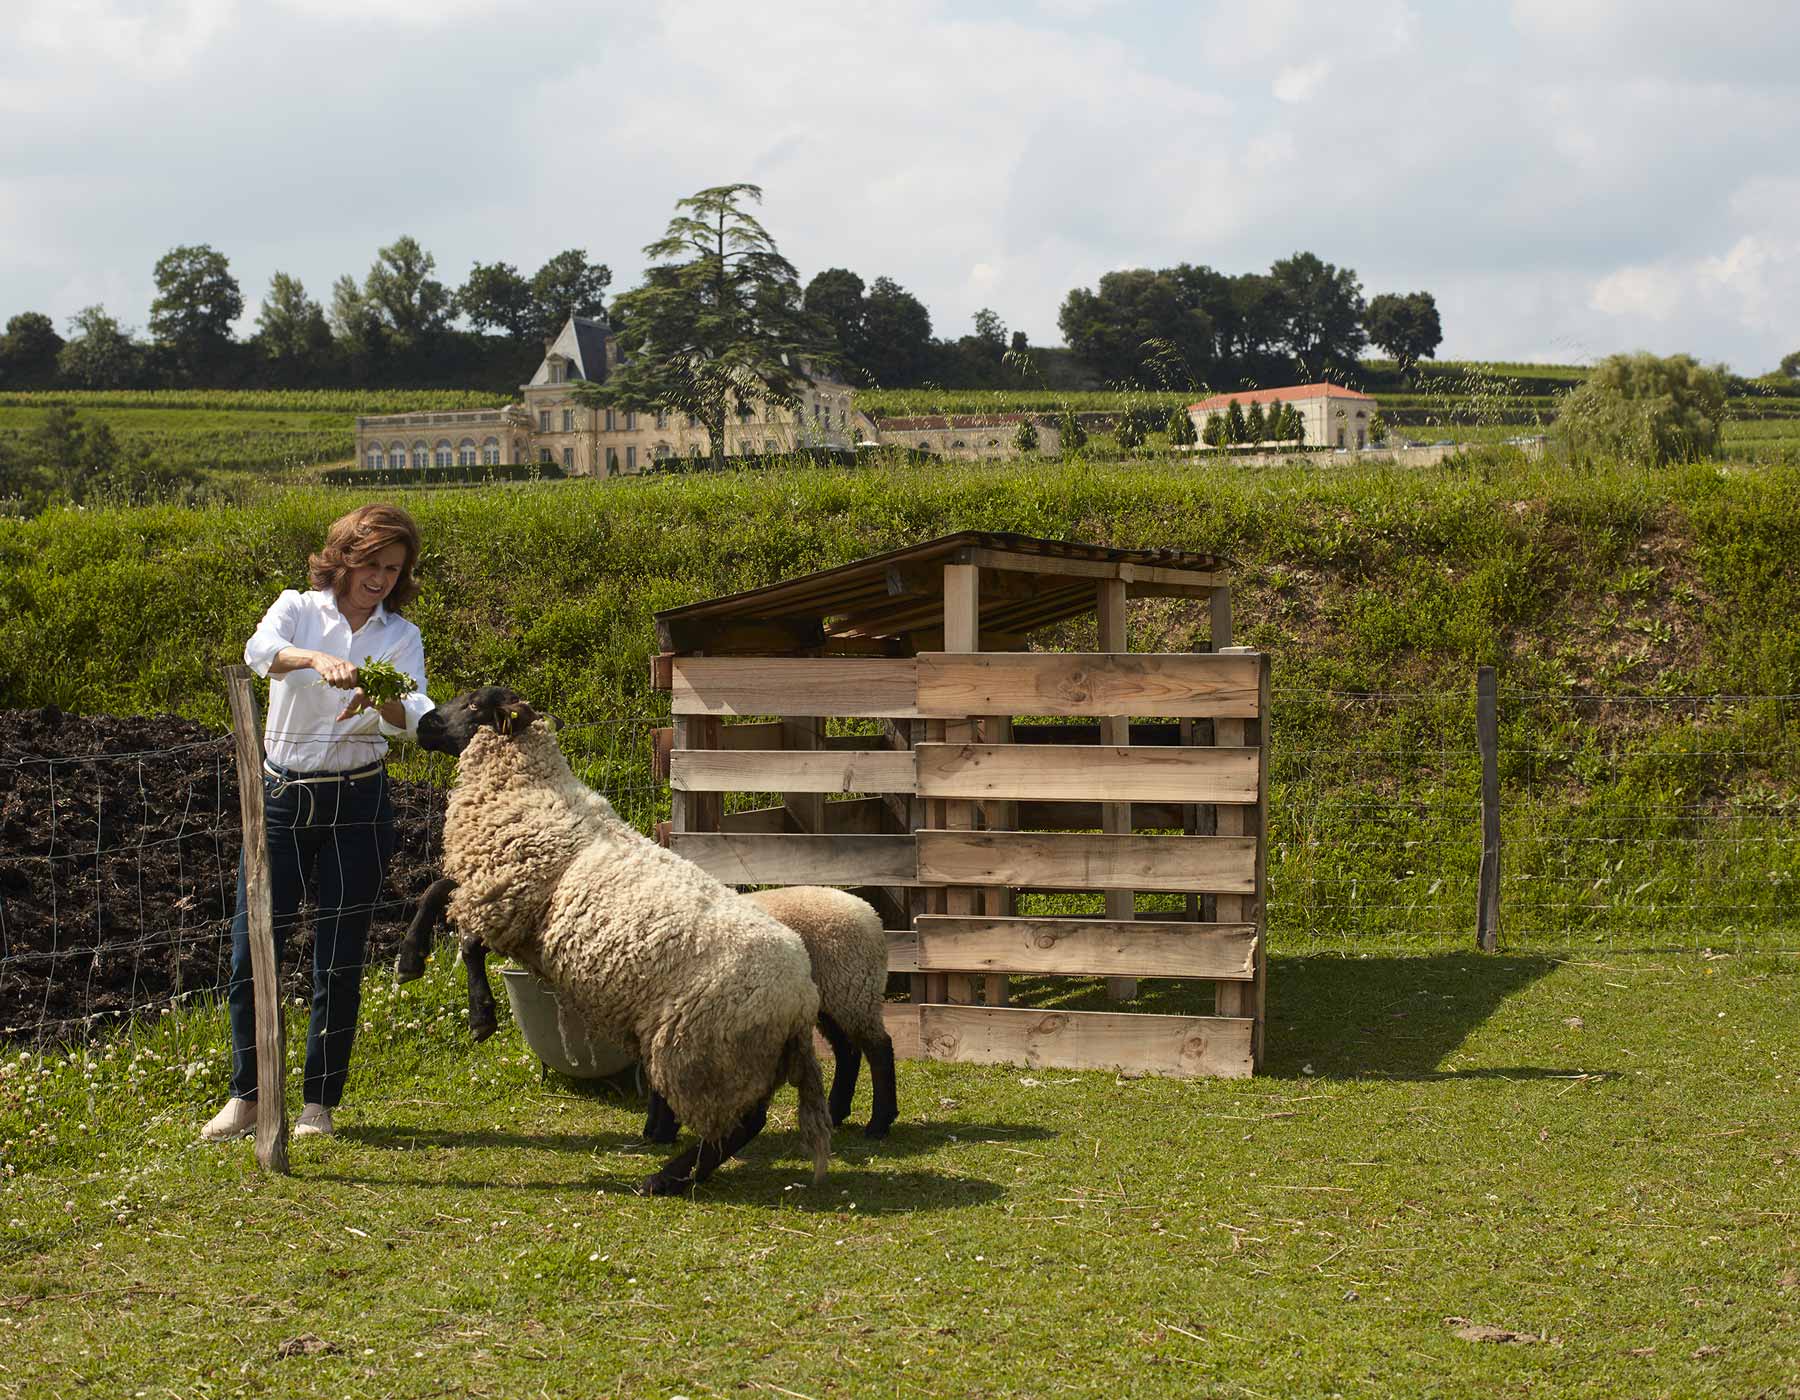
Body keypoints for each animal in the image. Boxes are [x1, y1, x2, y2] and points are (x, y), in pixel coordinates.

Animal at [421, 683, 835, 1187]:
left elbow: (460, 933)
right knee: (746, 1118)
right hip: (741, 1057)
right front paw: (416, 965)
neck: (532, 784)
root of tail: (802, 997)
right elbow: (438, 896)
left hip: (701, 1053)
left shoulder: (508, 899)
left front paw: (475, 1012)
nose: (421, 724)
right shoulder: (498, 895)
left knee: (738, 1124)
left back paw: (667, 1180)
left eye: (474, 704)